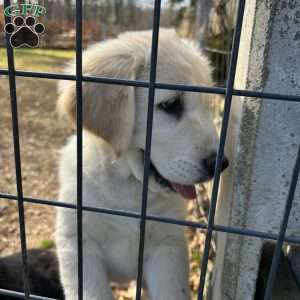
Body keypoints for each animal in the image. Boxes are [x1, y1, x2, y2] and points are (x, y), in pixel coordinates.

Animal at [55, 28, 227, 300]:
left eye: (208, 107)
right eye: (170, 105)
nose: (221, 164)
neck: (130, 190)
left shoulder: (167, 247)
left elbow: (172, 291)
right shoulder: (77, 244)